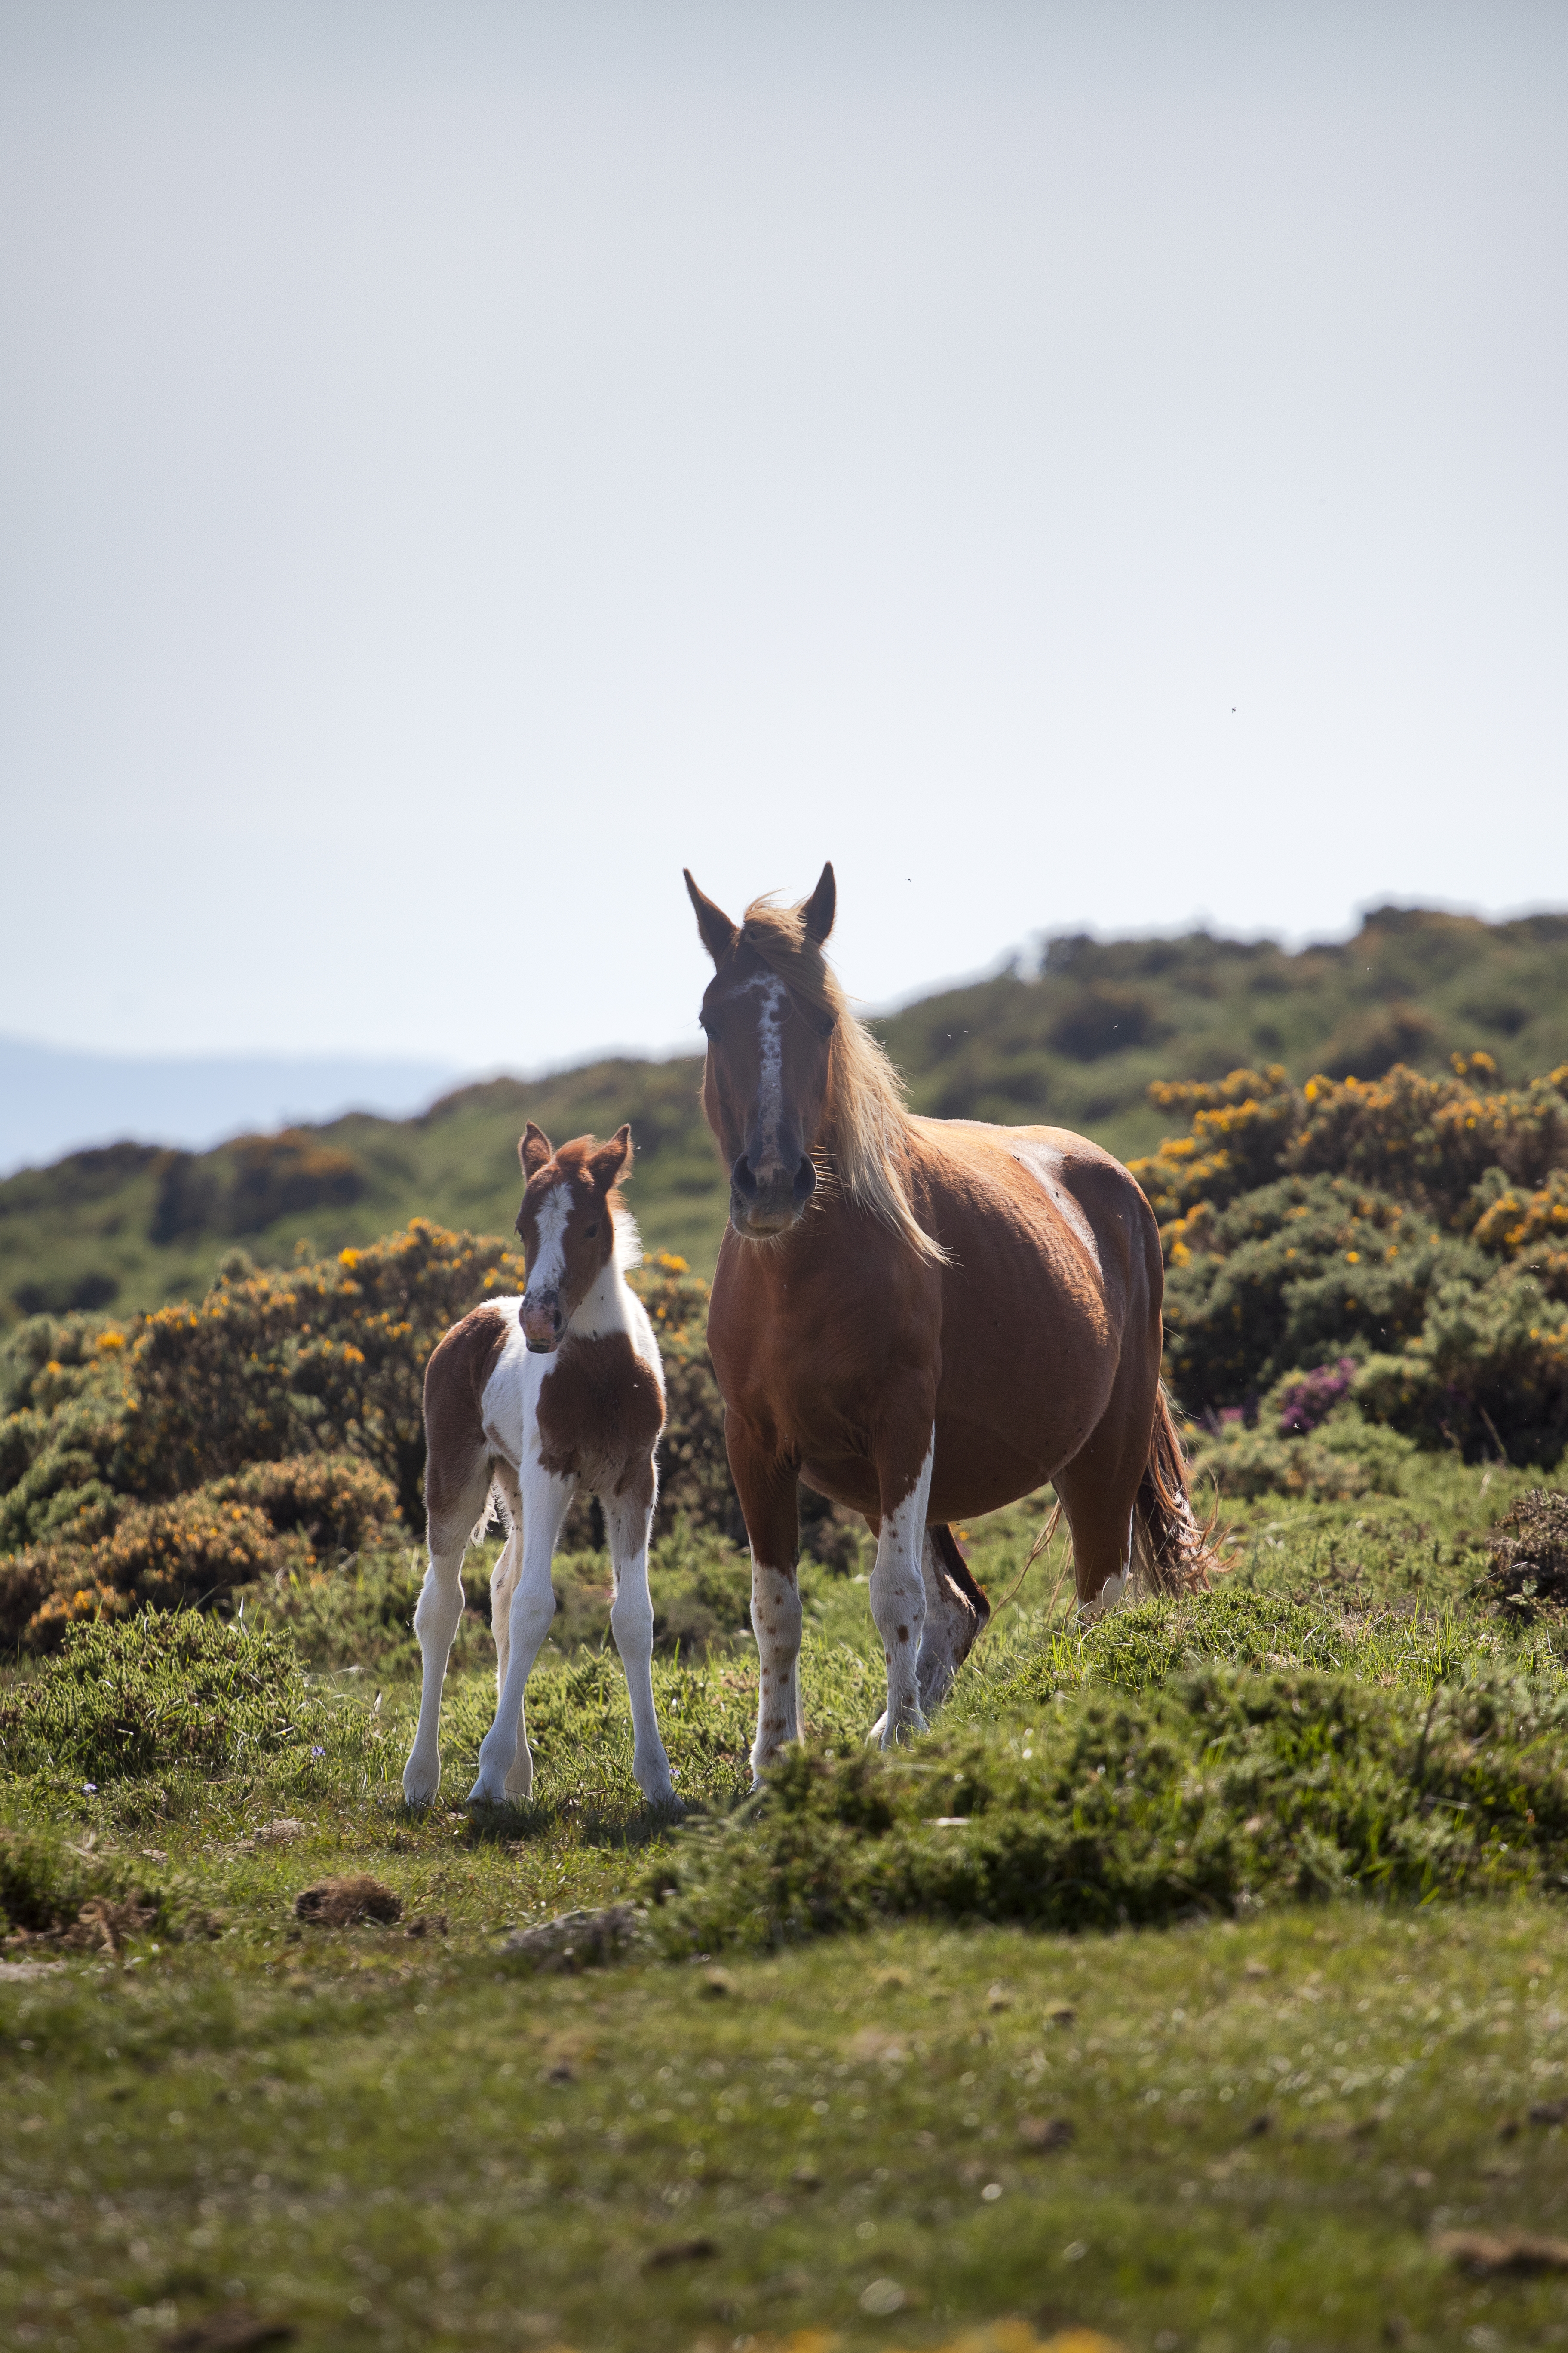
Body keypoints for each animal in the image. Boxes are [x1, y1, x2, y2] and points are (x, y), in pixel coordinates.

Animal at [398, 1129, 673, 1807]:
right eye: (522, 1226)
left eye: (591, 1228)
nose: (539, 1323)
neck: (600, 1372)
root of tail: (476, 1318)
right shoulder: (552, 1470)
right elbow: (534, 1609)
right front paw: (485, 1776)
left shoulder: (635, 1480)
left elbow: (632, 1617)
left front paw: (658, 1782)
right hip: (457, 1482)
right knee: (441, 1608)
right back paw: (424, 1778)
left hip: (517, 1490)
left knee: (500, 1592)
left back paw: (518, 1780)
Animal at [683, 866, 1205, 1779]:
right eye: (715, 1021)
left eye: (823, 1020)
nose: (773, 1183)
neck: (800, 1276)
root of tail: (1113, 1182)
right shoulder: (754, 1442)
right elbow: (776, 1605)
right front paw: (776, 1759)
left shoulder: (902, 1427)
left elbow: (895, 1595)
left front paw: (895, 1745)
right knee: (965, 1604)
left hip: (1101, 1452)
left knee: (1098, 1594)